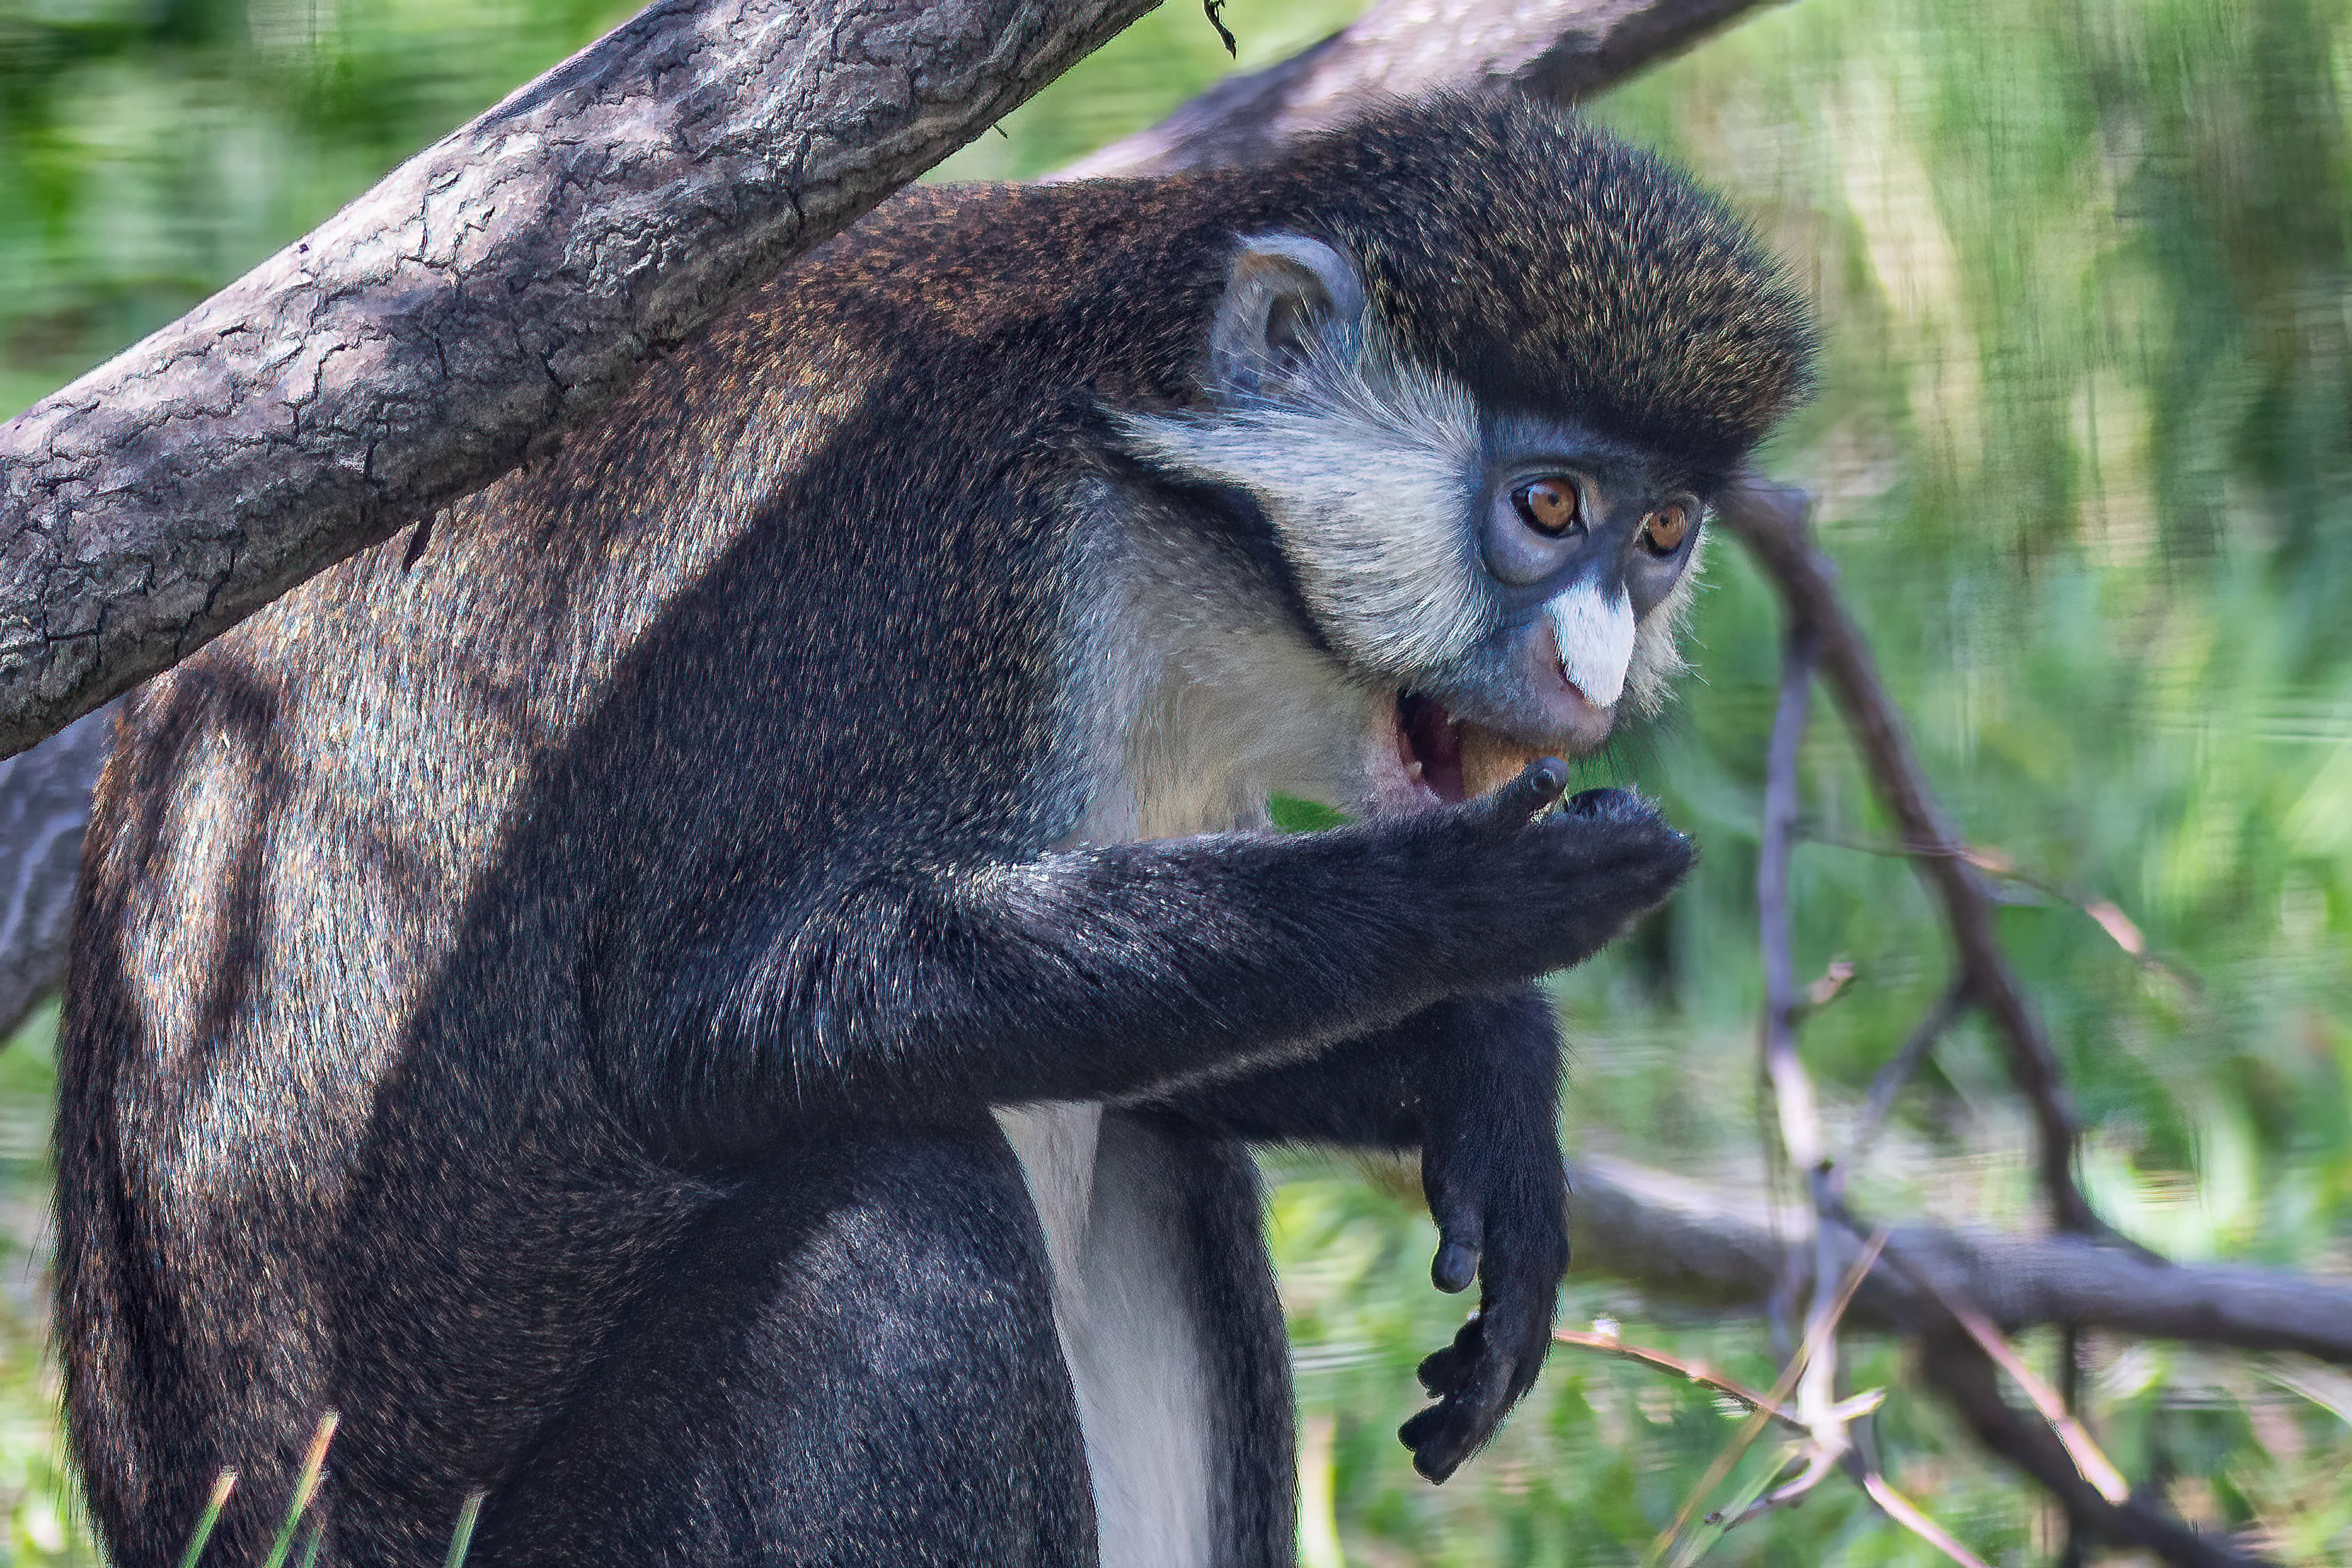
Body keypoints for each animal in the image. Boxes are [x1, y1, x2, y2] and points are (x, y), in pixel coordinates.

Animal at [57, 95, 1812, 1568]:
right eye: (1546, 509)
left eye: (1660, 535)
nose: (1591, 680)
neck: (1154, 504)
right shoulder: (926, 559)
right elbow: (707, 1029)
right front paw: (1467, 899)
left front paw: (1487, 1067)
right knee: (893, 1204)